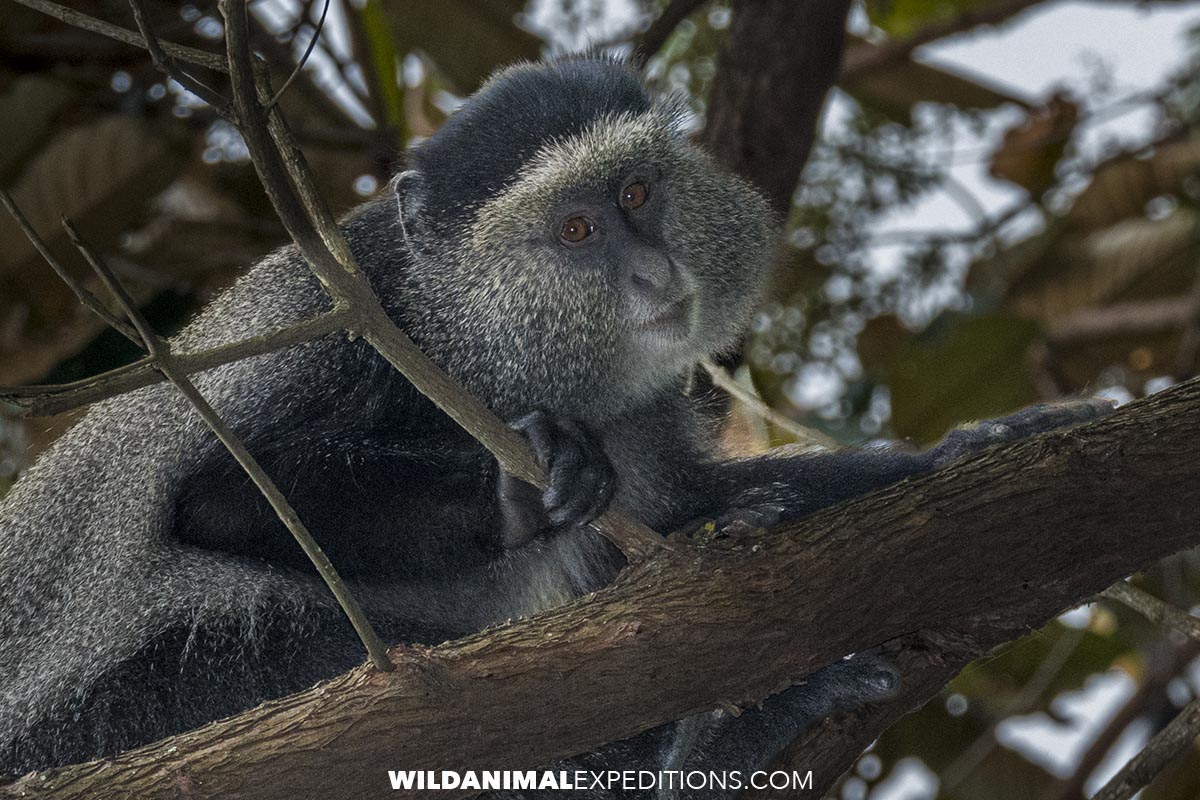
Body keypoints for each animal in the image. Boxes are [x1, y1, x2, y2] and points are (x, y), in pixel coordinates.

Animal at [0, 55, 1109, 795]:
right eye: (575, 230)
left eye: (638, 191)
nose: (654, 276)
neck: (465, 324)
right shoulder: (359, 337)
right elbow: (217, 498)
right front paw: (525, 486)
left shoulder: (640, 409)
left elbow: (695, 511)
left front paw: (968, 454)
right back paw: (690, 751)